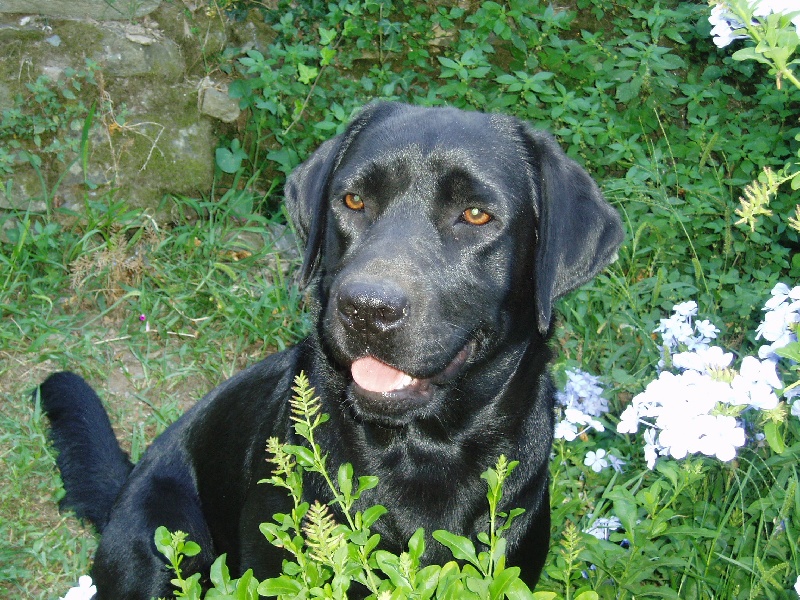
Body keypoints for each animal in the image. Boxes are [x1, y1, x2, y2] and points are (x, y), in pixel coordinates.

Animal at [37, 101, 624, 596]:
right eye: (353, 200)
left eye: (477, 215)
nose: (366, 308)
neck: (422, 453)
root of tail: (126, 485)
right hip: (162, 549)